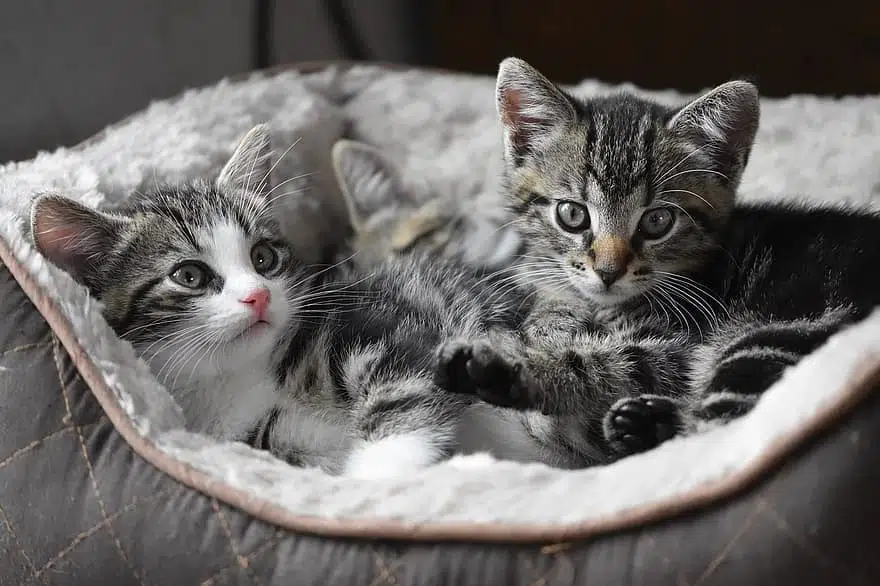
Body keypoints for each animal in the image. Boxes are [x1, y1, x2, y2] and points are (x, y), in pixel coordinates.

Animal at [434, 58, 880, 460]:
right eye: (572, 214)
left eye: (657, 221)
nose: (608, 272)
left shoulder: (678, 347)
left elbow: (605, 364)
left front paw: (512, 367)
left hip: (781, 333)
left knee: (720, 440)